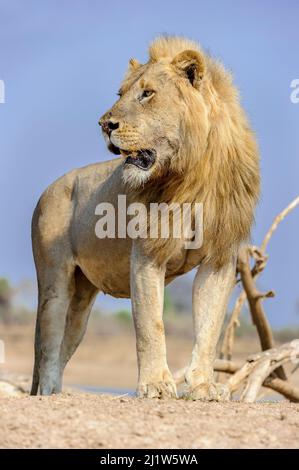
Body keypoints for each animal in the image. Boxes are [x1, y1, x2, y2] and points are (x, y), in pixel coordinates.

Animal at [29, 35, 260, 400]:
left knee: (67, 342)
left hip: (81, 299)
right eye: (120, 93)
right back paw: (50, 394)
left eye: (147, 93)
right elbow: (152, 322)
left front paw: (204, 386)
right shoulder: (148, 253)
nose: (104, 124)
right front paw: (155, 385)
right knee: (48, 347)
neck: (193, 174)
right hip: (55, 282)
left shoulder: (220, 259)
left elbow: (209, 327)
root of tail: (48, 188)